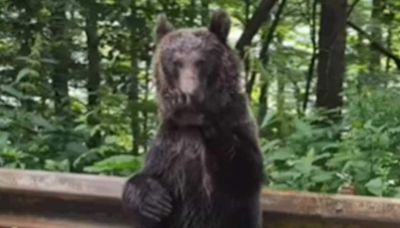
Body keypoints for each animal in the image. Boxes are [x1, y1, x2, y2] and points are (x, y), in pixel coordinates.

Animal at [122, 9, 266, 228]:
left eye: (201, 61)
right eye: (176, 62)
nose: (188, 95)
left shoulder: (238, 121)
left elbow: (247, 170)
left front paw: (211, 127)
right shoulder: (170, 145)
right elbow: (148, 178)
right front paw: (154, 201)